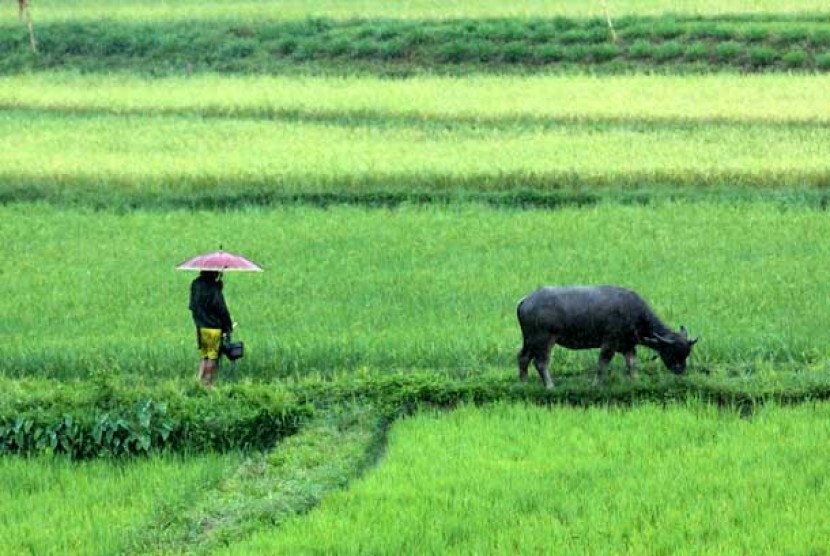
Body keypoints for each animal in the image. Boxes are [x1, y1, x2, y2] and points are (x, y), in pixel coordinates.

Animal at [516, 286, 700, 386]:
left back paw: (524, 382)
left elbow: (632, 364)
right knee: (541, 363)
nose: (680, 370)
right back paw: (550, 385)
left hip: (529, 340)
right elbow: (602, 364)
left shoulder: (628, 345)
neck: (634, 313)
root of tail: (525, 300)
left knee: (523, 358)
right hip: (544, 340)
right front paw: (596, 384)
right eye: (673, 352)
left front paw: (635, 381)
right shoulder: (609, 343)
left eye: (686, 353)